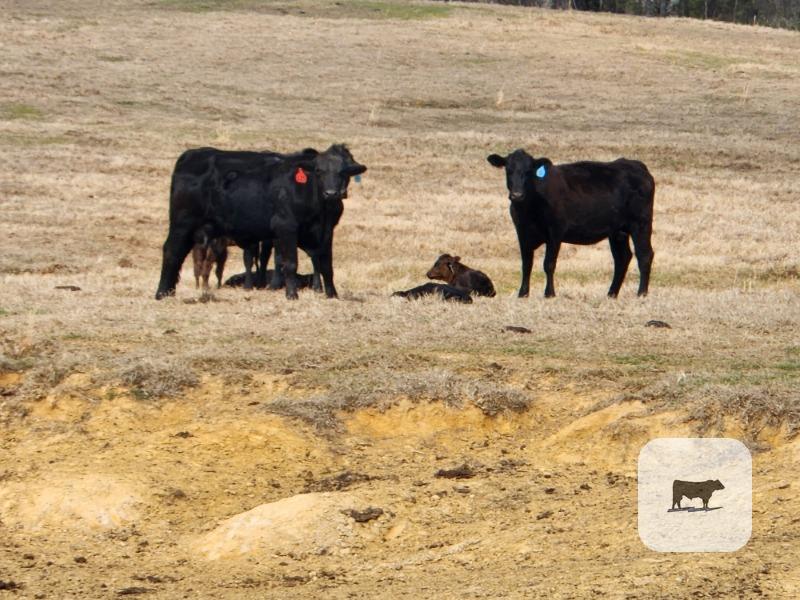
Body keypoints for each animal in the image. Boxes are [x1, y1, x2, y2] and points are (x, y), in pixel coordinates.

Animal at [155, 145, 365, 300]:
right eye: (319, 171)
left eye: (344, 172)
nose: (332, 193)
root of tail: (190, 155)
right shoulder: (286, 227)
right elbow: (290, 263)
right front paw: (291, 294)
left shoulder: (326, 231)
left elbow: (326, 264)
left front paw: (332, 294)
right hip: (182, 223)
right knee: (172, 251)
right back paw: (162, 292)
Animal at [487, 149, 655, 298]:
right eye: (508, 170)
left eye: (528, 171)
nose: (517, 195)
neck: (529, 209)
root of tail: (635, 165)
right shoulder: (522, 233)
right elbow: (526, 265)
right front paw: (523, 294)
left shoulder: (555, 232)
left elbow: (549, 264)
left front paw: (549, 293)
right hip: (617, 232)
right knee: (622, 258)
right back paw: (611, 294)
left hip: (641, 223)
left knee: (644, 255)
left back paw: (641, 293)